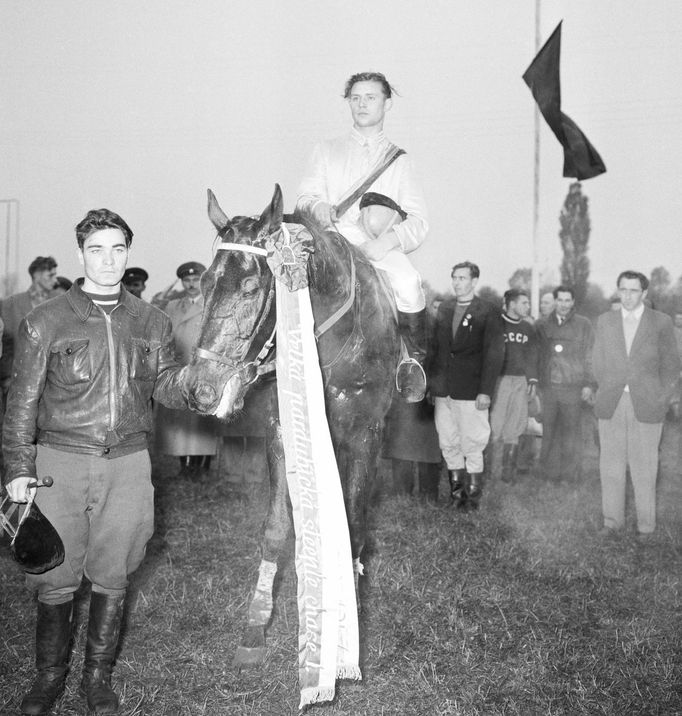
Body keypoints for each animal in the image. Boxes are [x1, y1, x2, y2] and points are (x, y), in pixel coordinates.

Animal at [183, 186, 402, 664]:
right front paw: (255, 627)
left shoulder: (367, 436)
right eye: (205, 284)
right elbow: (276, 529)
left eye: (250, 287)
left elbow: (355, 528)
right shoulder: (283, 431)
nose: (199, 389)